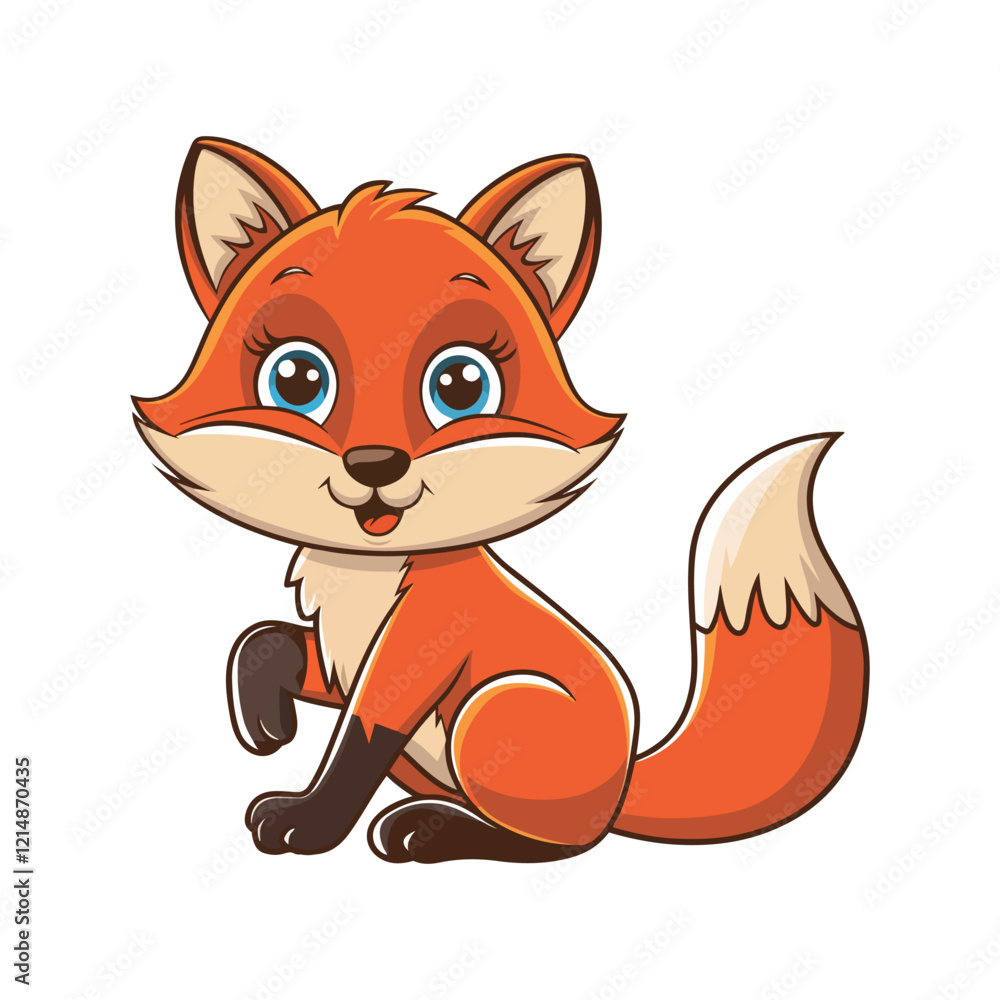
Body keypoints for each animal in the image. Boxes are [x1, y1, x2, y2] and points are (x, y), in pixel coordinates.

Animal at [133, 137, 869, 863]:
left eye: (461, 385)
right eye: (296, 379)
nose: (375, 464)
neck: (368, 577)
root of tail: (626, 777)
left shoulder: (413, 653)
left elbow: (355, 749)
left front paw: (308, 824)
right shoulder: (345, 659)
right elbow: (269, 640)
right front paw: (263, 717)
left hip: (494, 713)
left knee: (561, 842)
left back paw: (429, 832)